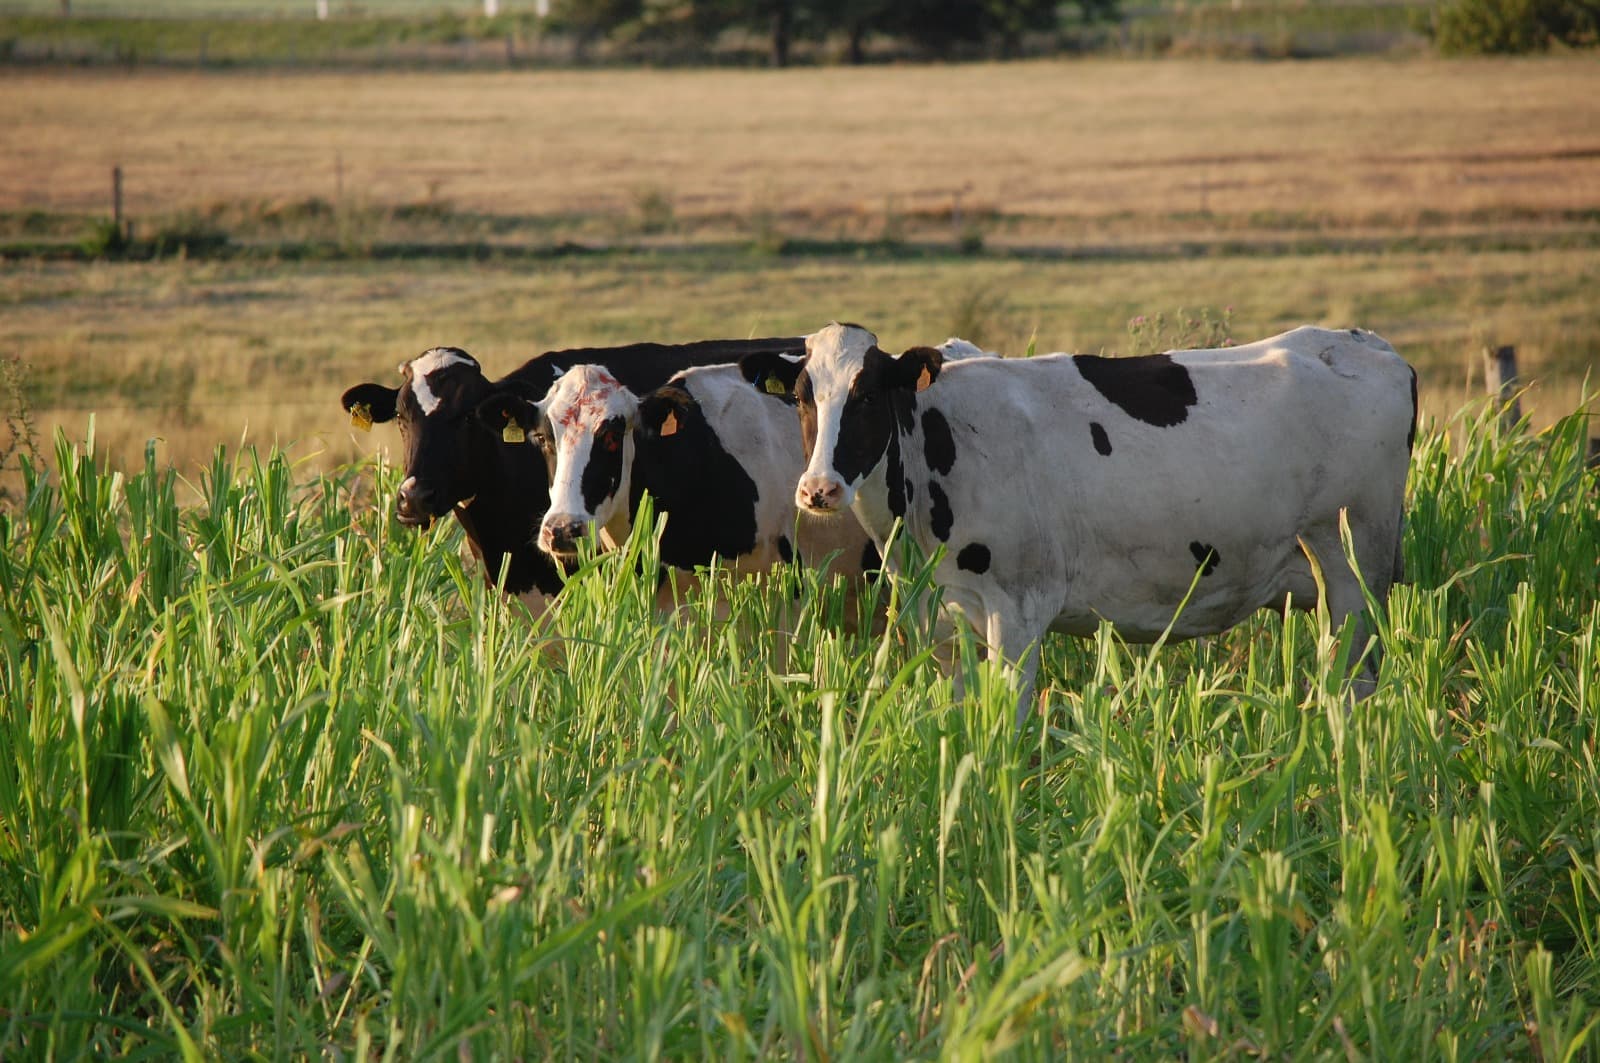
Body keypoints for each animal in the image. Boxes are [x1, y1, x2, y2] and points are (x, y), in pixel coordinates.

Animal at [742, 321, 1420, 723]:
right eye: (802, 397)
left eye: (866, 396)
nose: (819, 489)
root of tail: (1366, 343)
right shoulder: (946, 619)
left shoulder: (1017, 610)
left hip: (1355, 571)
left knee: (1355, 685)